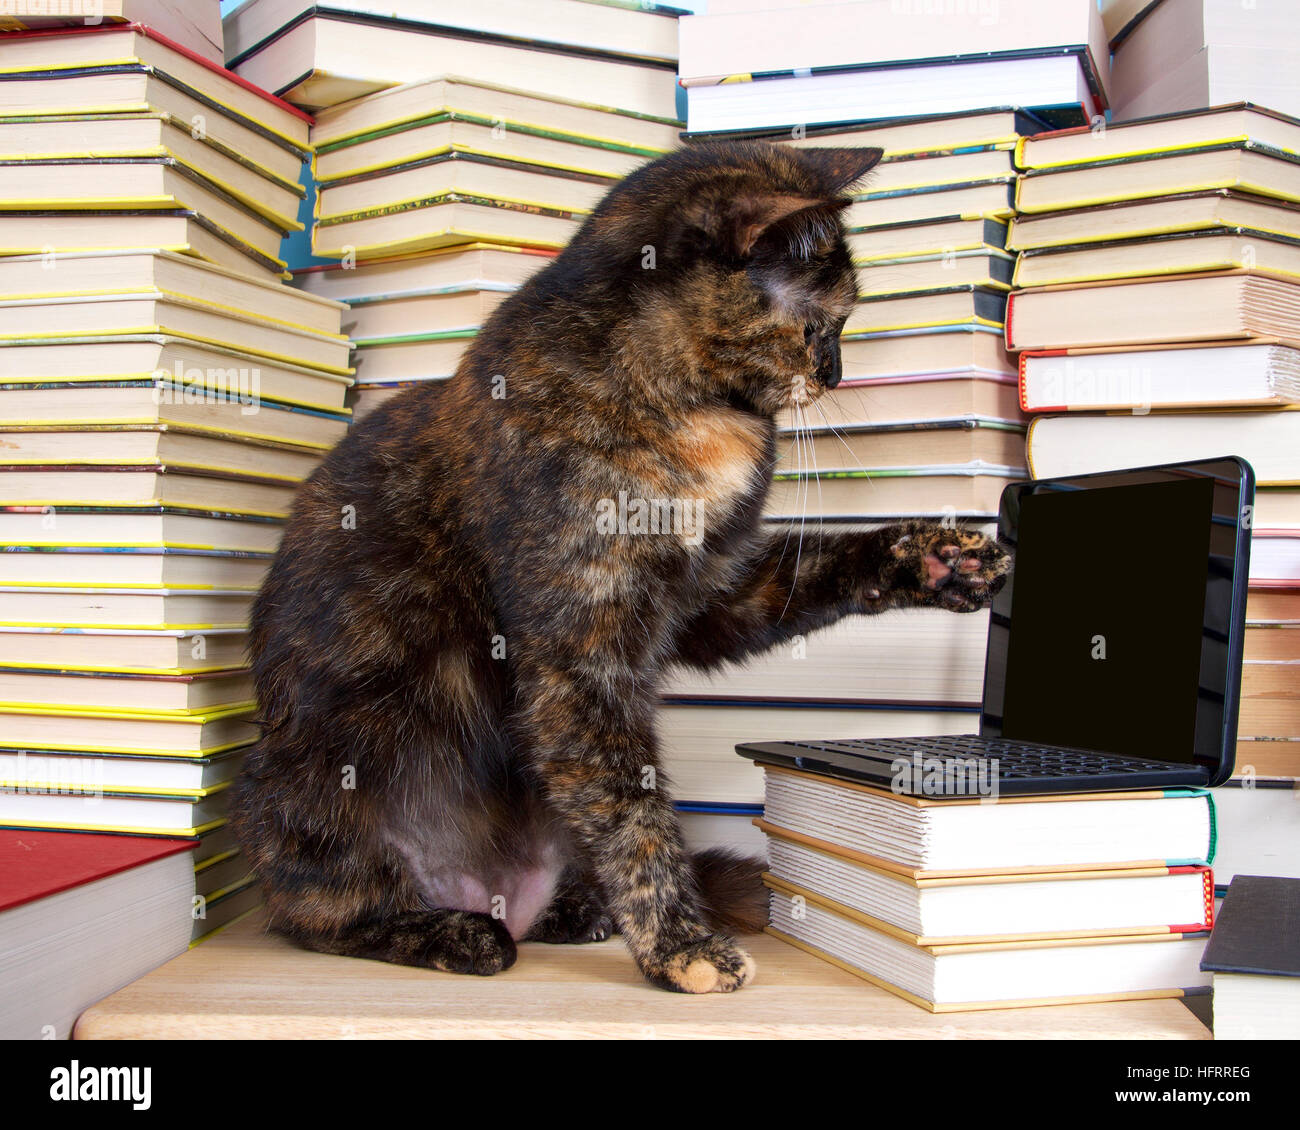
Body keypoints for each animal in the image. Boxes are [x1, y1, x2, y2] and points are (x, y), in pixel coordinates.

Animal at [231, 139, 1013, 988]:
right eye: (820, 327)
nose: (835, 375)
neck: (699, 418)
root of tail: (497, 891)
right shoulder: (579, 653)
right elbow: (632, 810)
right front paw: (680, 944)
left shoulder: (711, 596)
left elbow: (822, 567)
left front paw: (941, 560)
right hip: (321, 778)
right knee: (323, 913)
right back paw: (451, 933)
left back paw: (577, 913)